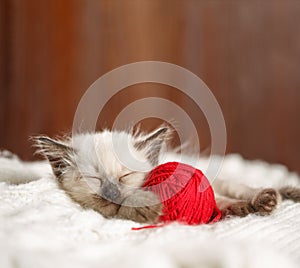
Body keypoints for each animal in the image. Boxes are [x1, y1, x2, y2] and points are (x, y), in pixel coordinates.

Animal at [32, 126, 300, 223]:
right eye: (95, 180)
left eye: (125, 176)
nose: (112, 193)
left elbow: (222, 197)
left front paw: (244, 206)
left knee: (240, 187)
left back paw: (272, 197)